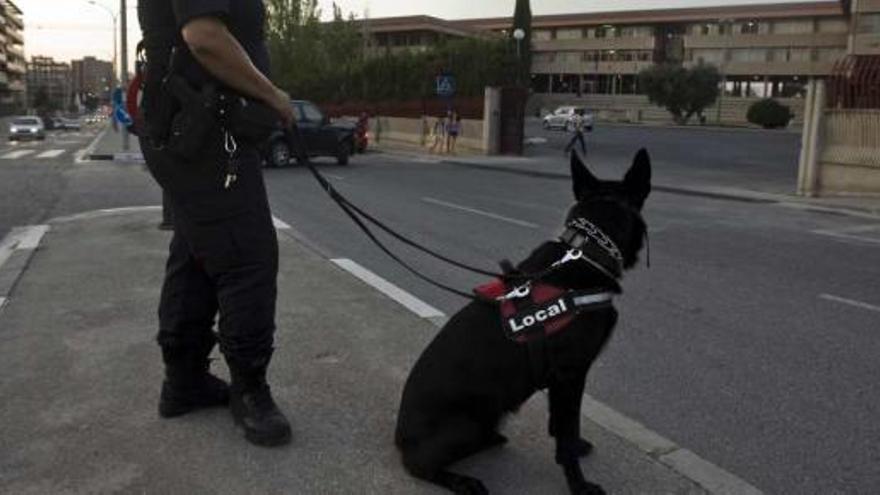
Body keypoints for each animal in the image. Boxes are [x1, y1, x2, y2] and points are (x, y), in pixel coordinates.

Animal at [396, 149, 648, 494]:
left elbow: (562, 426)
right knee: (421, 466)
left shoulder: (563, 381)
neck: (586, 250)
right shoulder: (570, 375)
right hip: (470, 421)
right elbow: (567, 436)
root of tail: (400, 438)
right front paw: (578, 484)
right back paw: (462, 480)